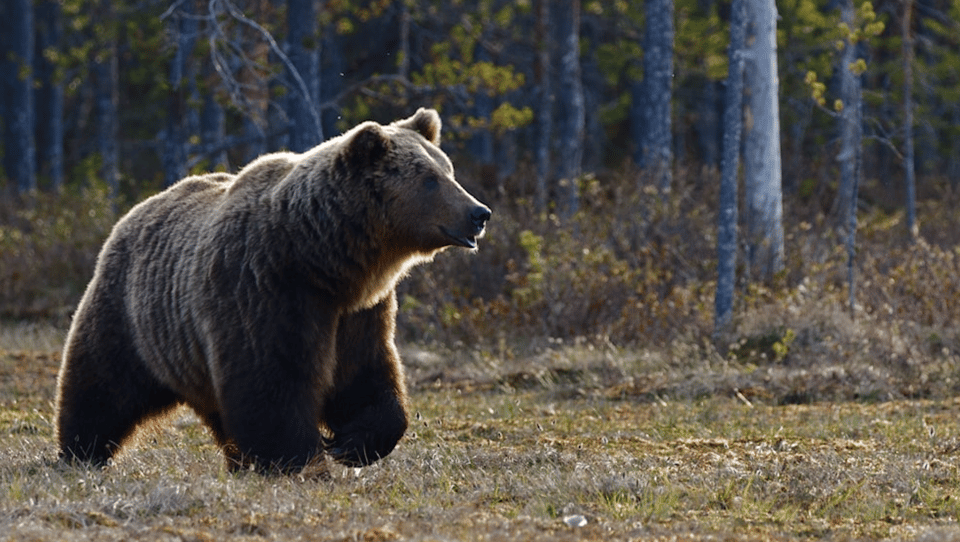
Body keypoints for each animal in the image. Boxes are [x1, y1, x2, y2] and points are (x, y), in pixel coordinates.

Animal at [54, 108, 488, 474]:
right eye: (429, 179)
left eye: (448, 170)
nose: (479, 213)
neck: (323, 259)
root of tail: (134, 211)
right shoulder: (265, 288)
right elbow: (272, 382)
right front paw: (299, 459)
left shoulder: (360, 311)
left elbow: (365, 374)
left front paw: (352, 442)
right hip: (133, 314)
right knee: (101, 384)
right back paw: (81, 451)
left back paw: (237, 460)